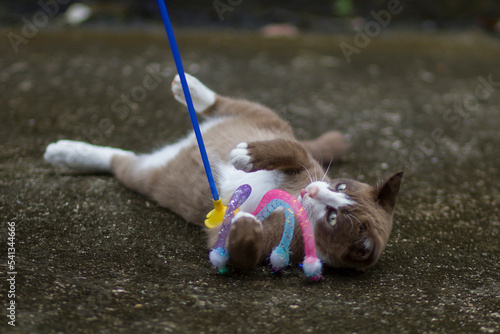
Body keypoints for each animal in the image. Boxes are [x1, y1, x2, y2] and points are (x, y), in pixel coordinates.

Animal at [44, 73, 402, 272]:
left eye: (333, 219)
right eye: (341, 186)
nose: (312, 192)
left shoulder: (252, 246)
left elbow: (239, 253)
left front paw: (245, 225)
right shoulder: (304, 163)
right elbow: (289, 150)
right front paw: (246, 156)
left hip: (148, 178)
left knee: (121, 160)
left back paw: (66, 154)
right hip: (267, 117)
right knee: (227, 105)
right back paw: (190, 87)